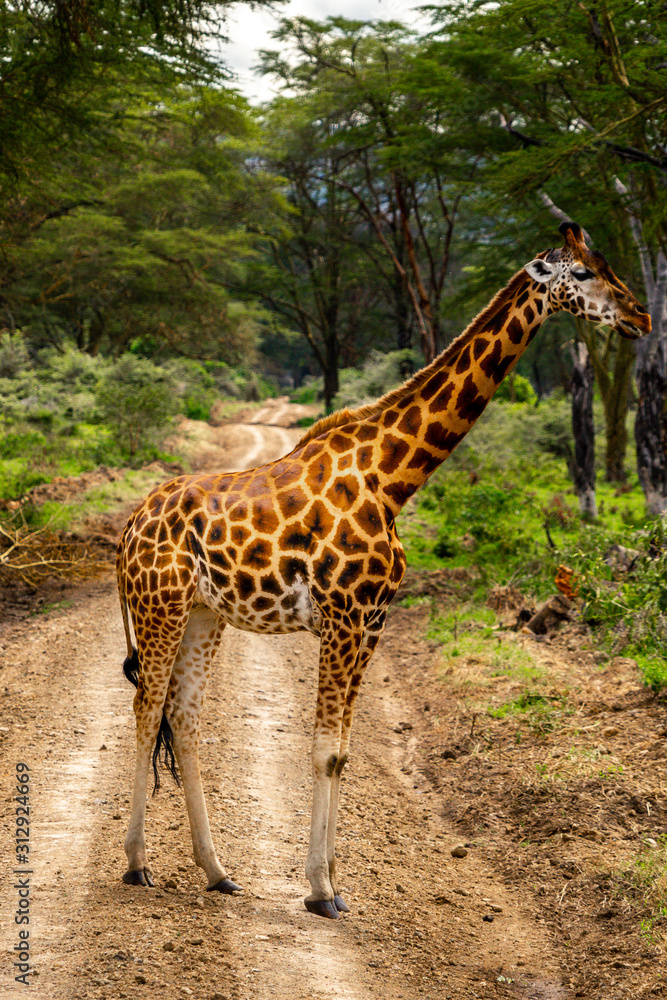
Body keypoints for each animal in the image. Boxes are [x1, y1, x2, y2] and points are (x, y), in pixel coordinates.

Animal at [116, 222, 649, 918]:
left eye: (608, 265)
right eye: (583, 273)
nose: (640, 316)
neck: (393, 479)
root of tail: (128, 527)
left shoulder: (371, 624)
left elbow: (342, 752)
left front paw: (333, 883)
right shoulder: (344, 621)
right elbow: (324, 750)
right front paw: (319, 892)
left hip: (206, 614)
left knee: (183, 717)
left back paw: (217, 872)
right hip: (160, 607)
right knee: (147, 706)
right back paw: (136, 864)